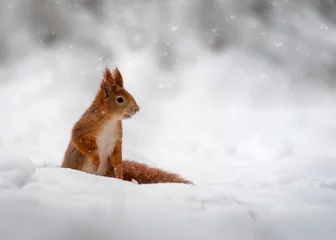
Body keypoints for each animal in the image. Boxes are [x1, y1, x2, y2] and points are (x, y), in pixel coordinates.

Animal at [60, 66, 192, 185]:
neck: (111, 120)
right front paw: (96, 162)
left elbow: (117, 159)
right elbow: (80, 141)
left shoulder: (117, 137)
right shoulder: (86, 126)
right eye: (120, 99)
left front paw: (120, 174)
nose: (137, 109)